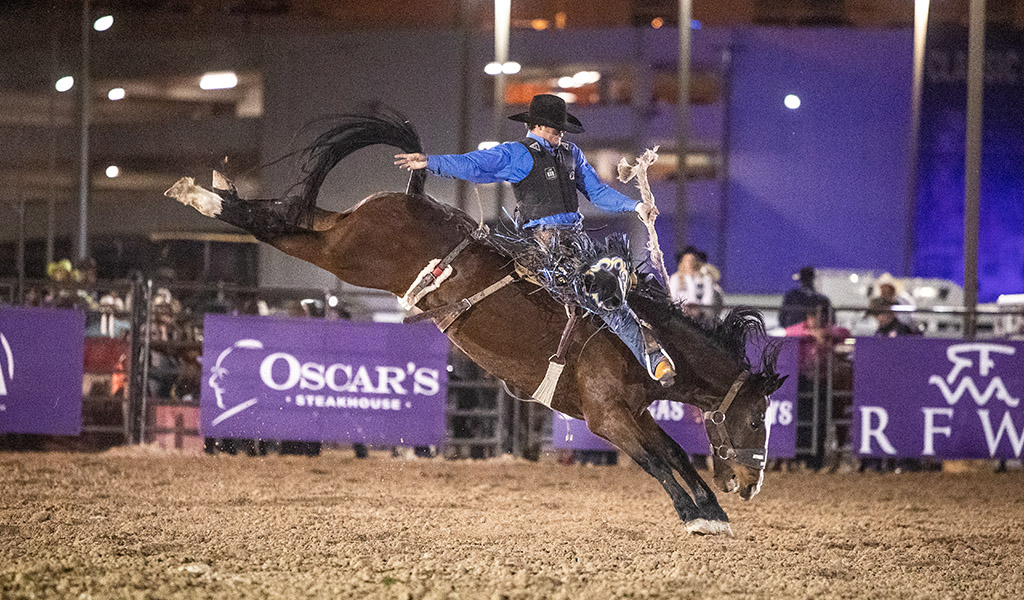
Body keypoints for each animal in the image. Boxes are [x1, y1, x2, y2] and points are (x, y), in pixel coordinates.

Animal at [165, 111, 785, 536]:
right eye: (757, 419)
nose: (751, 485)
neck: (642, 342)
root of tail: (415, 198)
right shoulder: (608, 417)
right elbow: (656, 460)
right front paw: (695, 514)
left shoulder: (632, 412)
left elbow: (674, 453)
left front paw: (714, 511)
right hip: (347, 254)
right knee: (272, 227)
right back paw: (201, 196)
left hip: (337, 232)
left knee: (292, 216)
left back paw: (212, 188)